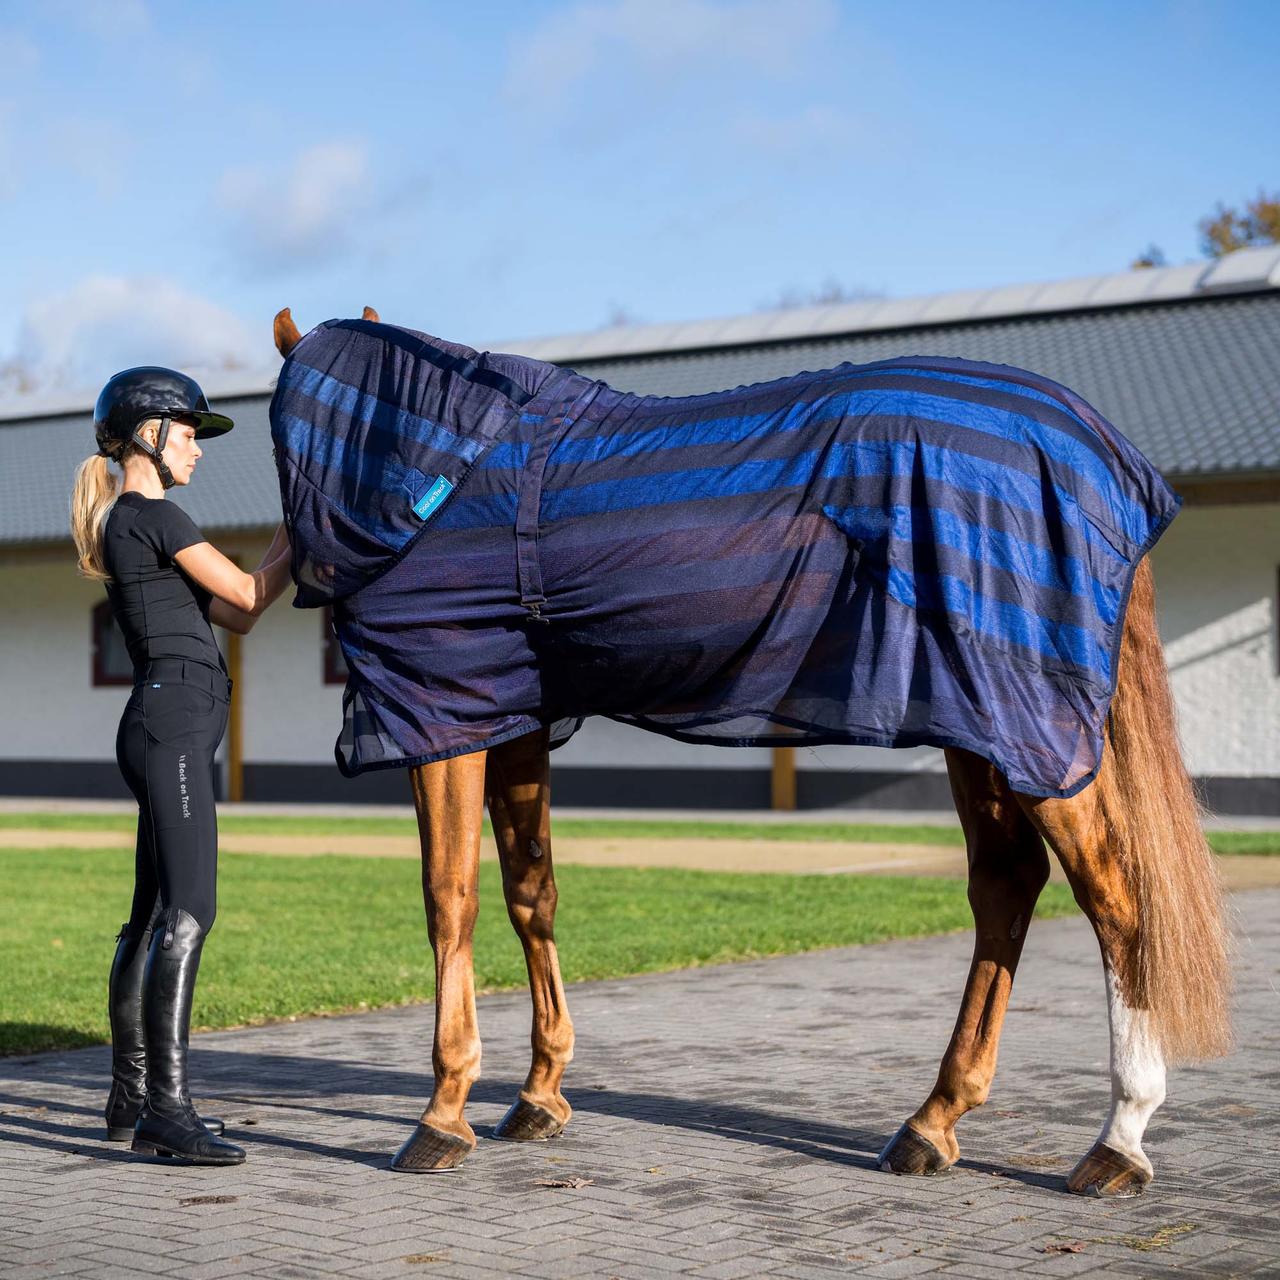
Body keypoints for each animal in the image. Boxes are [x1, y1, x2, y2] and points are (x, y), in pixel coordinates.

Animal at [271, 306, 1231, 1196]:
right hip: (977, 724)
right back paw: (933, 1122)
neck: (447, 461)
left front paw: (442, 1114)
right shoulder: (508, 719)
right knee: (1006, 886)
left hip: (1027, 727)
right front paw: (538, 1095)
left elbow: (450, 901)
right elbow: (529, 893)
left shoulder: (443, 714)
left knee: (1115, 898)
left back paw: (1117, 1139)